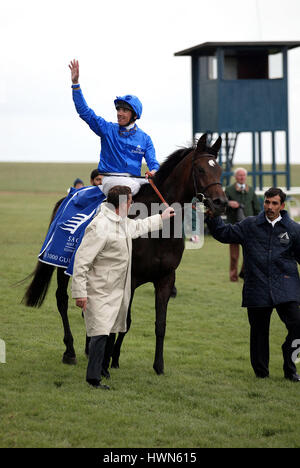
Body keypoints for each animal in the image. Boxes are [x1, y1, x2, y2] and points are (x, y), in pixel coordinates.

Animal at [23, 133, 226, 374]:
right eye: (201, 169)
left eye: (220, 170)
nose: (221, 202)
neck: (157, 229)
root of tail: (67, 197)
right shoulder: (129, 277)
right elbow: (123, 320)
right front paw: (107, 362)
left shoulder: (165, 278)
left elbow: (159, 324)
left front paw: (155, 365)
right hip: (62, 264)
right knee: (62, 300)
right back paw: (70, 351)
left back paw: (90, 347)